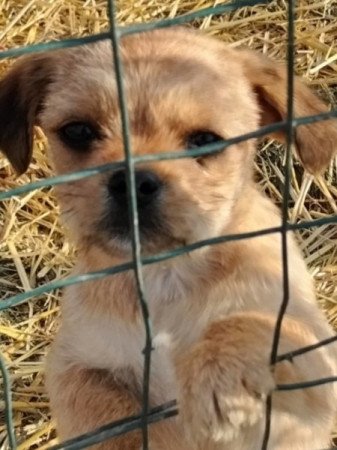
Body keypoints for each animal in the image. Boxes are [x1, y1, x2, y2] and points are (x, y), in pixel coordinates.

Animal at [0, 28, 336, 450]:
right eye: (78, 132)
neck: (165, 277)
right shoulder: (74, 364)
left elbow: (250, 323)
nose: (132, 182)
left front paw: (216, 382)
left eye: (206, 140)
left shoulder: (317, 364)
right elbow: (105, 414)